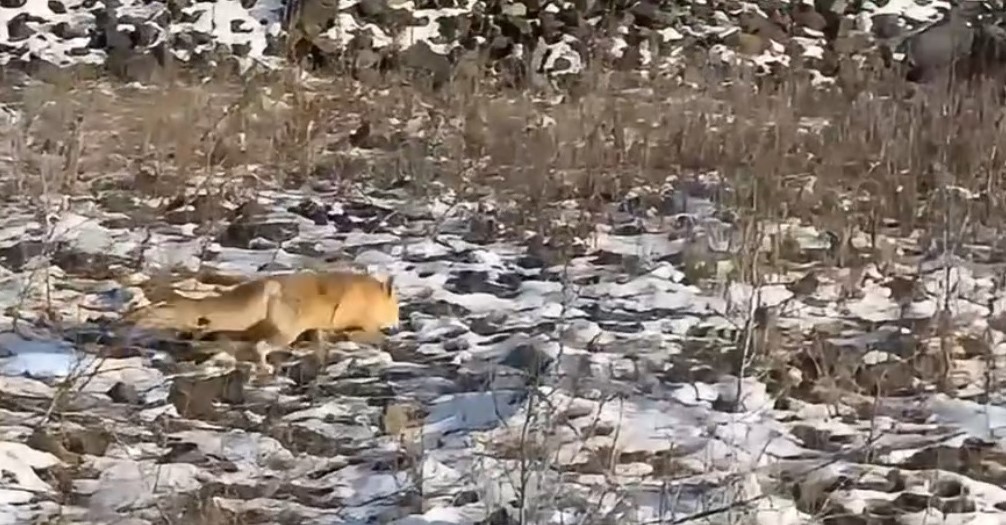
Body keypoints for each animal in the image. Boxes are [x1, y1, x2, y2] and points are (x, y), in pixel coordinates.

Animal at [126, 269, 404, 372]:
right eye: (397, 310)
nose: (399, 325)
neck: (369, 297)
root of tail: (271, 285)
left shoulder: (318, 329)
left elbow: (322, 344)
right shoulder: (361, 324)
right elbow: (372, 335)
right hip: (286, 335)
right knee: (260, 347)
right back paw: (265, 368)